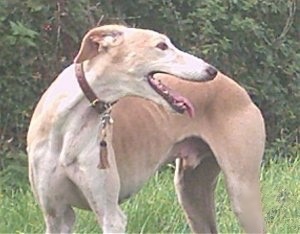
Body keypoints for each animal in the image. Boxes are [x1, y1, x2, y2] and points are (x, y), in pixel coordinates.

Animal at [26, 24, 223, 233]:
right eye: (162, 45)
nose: (211, 71)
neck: (64, 125)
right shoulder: (57, 216)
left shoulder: (111, 216)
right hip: (192, 192)